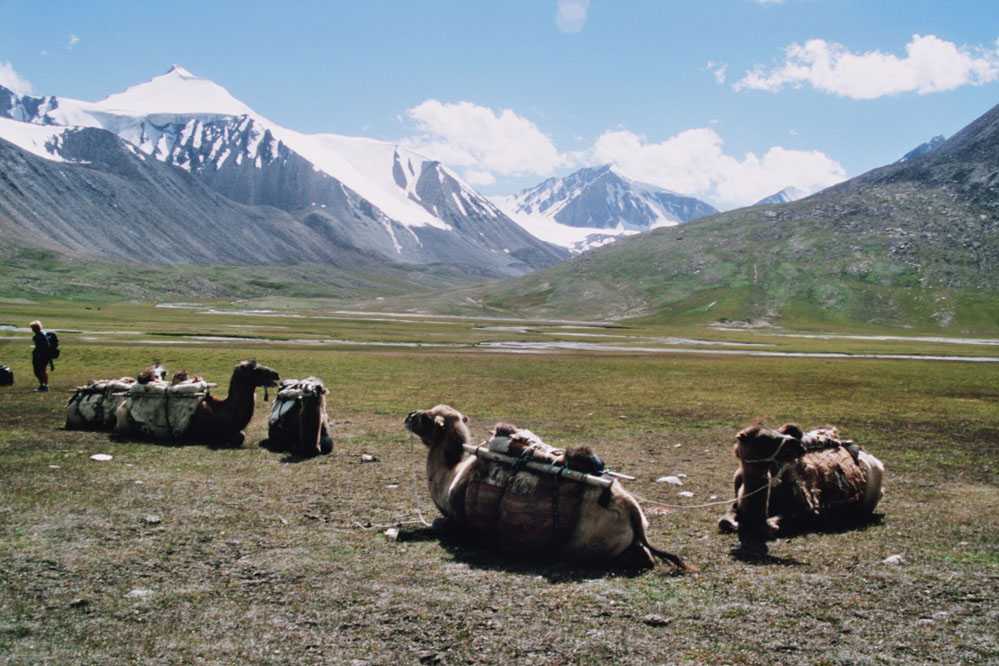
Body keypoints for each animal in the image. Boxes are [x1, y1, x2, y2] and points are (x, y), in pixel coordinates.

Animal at [115, 358, 280, 446]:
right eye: (255, 369)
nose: (276, 374)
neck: (223, 410)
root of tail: (122, 407)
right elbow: (238, 437)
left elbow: (241, 435)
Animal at [402, 404, 692, 572]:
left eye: (427, 418)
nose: (409, 416)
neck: (449, 478)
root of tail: (627, 505)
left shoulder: (459, 523)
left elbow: (439, 524)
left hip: (588, 543)